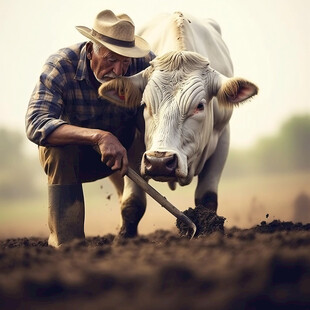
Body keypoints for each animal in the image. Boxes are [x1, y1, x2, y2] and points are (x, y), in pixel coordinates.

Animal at [100, 11, 258, 237]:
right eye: (145, 105)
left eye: (200, 106)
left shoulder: (222, 140)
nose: (159, 161)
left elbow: (207, 199)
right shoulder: (132, 149)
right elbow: (133, 203)